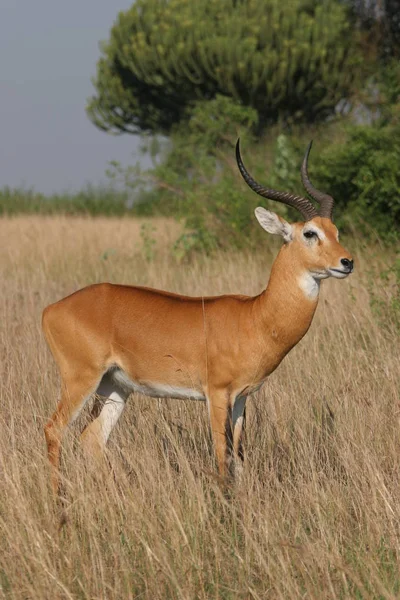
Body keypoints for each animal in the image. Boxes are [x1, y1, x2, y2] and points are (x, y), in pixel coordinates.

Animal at [41, 139, 354, 492]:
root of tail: (52, 308)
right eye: (310, 233)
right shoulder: (216, 394)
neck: (256, 317)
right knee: (54, 429)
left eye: (336, 230)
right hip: (80, 379)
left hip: (115, 386)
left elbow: (239, 459)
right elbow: (221, 459)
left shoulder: (242, 398)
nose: (347, 262)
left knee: (91, 439)